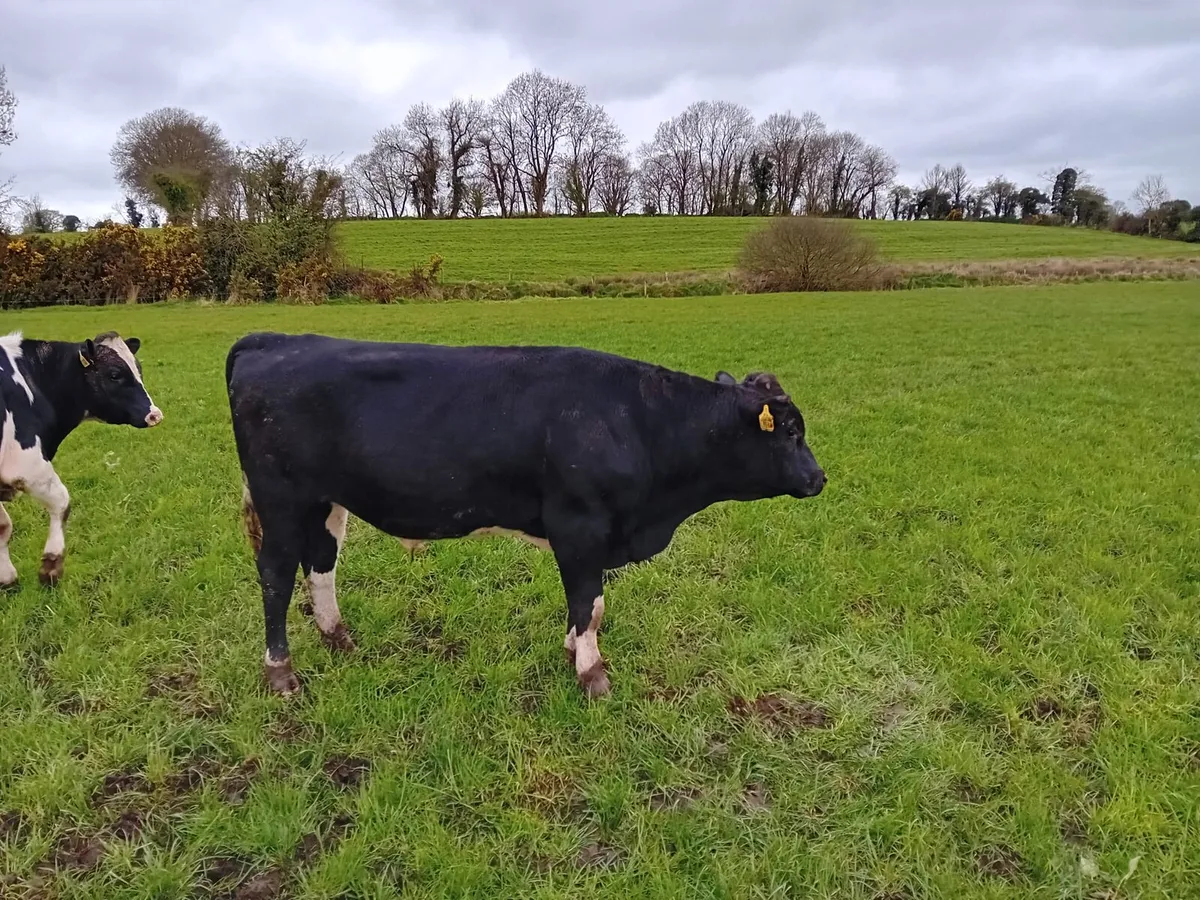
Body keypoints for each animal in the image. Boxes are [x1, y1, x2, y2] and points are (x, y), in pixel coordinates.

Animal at [0, 331, 163, 588]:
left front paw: (6, 578)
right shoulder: (27, 465)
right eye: (114, 375)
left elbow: (3, 526)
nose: (155, 415)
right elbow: (62, 502)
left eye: (138, 369)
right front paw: (51, 567)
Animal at [225, 332, 826, 699]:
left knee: (320, 566)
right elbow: (591, 603)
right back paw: (281, 672)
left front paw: (572, 650)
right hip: (281, 500)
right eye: (791, 431)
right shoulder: (580, 525)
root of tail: (272, 340)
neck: (638, 420)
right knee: (276, 577)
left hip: (326, 502)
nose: (819, 478)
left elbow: (583, 606)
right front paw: (592, 673)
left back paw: (339, 639)